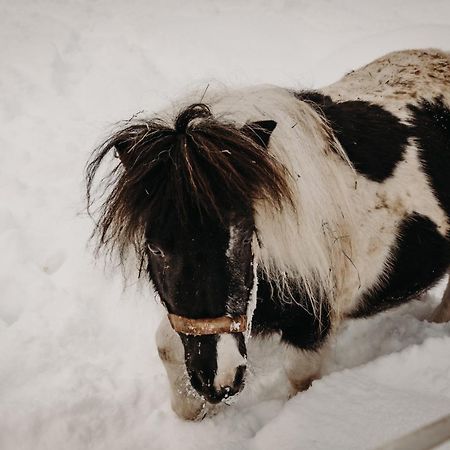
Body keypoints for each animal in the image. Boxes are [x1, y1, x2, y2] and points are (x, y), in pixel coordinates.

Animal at [87, 49, 450, 418]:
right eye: (156, 248)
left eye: (244, 232)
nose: (219, 379)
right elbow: (168, 350)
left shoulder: (309, 331)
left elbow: (300, 387)